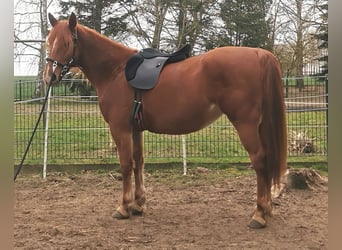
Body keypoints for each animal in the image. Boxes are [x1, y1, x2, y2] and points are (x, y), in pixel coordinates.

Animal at [44, 13, 288, 229]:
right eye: (48, 42)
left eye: (66, 43)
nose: (50, 77)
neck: (116, 71)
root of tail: (258, 53)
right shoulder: (135, 130)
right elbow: (138, 162)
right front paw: (138, 204)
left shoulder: (120, 129)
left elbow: (125, 166)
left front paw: (123, 207)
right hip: (260, 126)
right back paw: (267, 210)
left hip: (246, 125)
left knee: (260, 161)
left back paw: (259, 214)